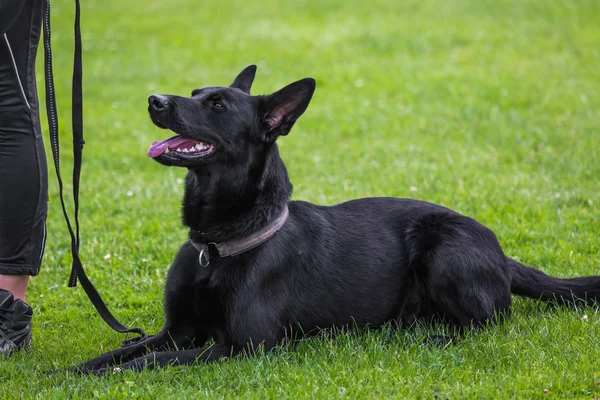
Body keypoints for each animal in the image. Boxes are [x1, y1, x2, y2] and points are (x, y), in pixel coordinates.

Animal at [77, 66, 596, 376]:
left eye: (217, 105)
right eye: (194, 94)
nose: (153, 100)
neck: (219, 245)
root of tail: (502, 255)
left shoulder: (242, 347)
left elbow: (150, 362)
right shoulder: (178, 331)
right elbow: (123, 351)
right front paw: (72, 372)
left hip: (442, 248)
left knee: (488, 322)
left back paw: (432, 337)